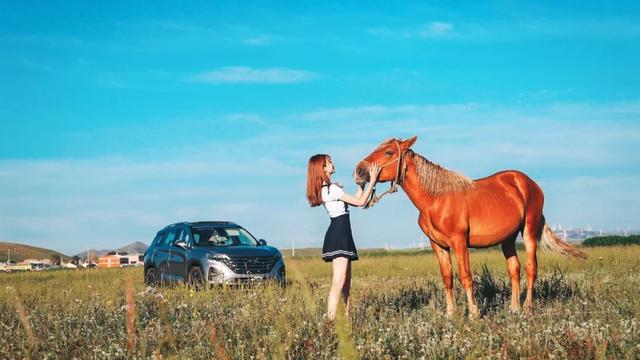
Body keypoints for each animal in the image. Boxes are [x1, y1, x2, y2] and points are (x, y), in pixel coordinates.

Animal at [352, 136, 588, 318]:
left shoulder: (459, 243)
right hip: (508, 239)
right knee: (514, 269)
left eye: (389, 152)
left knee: (531, 268)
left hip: (529, 231)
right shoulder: (438, 245)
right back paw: (514, 308)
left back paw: (528, 308)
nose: (359, 171)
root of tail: (528, 182)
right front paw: (451, 314)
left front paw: (473, 313)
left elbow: (466, 277)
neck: (436, 199)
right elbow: (447, 278)